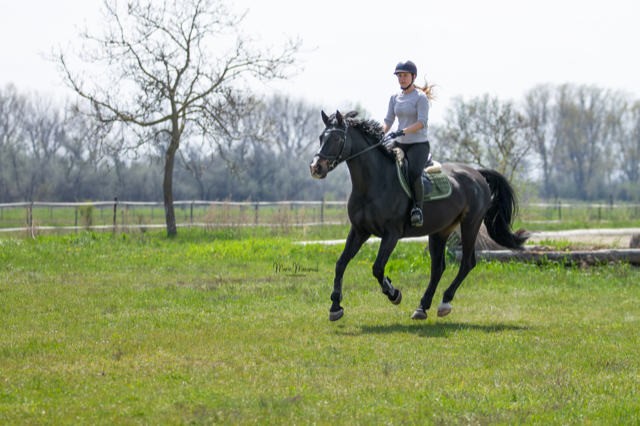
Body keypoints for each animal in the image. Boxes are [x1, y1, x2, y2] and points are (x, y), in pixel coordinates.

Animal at [308, 110, 528, 320]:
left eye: (337, 138)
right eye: (321, 137)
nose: (316, 167)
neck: (373, 183)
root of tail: (477, 174)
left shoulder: (391, 234)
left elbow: (377, 268)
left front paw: (393, 293)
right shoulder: (359, 231)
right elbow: (341, 264)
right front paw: (335, 306)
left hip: (470, 225)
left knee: (467, 263)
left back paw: (444, 302)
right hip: (440, 231)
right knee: (438, 268)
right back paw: (422, 307)